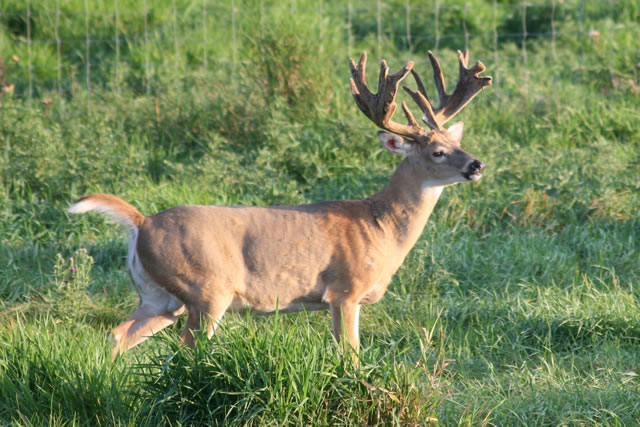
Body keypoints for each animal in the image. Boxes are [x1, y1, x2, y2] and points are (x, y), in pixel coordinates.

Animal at [69, 49, 490, 362]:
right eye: (437, 152)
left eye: (457, 142)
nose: (476, 165)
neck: (378, 225)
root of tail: (141, 222)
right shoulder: (345, 290)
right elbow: (350, 355)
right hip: (206, 289)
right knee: (185, 350)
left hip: (159, 298)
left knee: (117, 335)